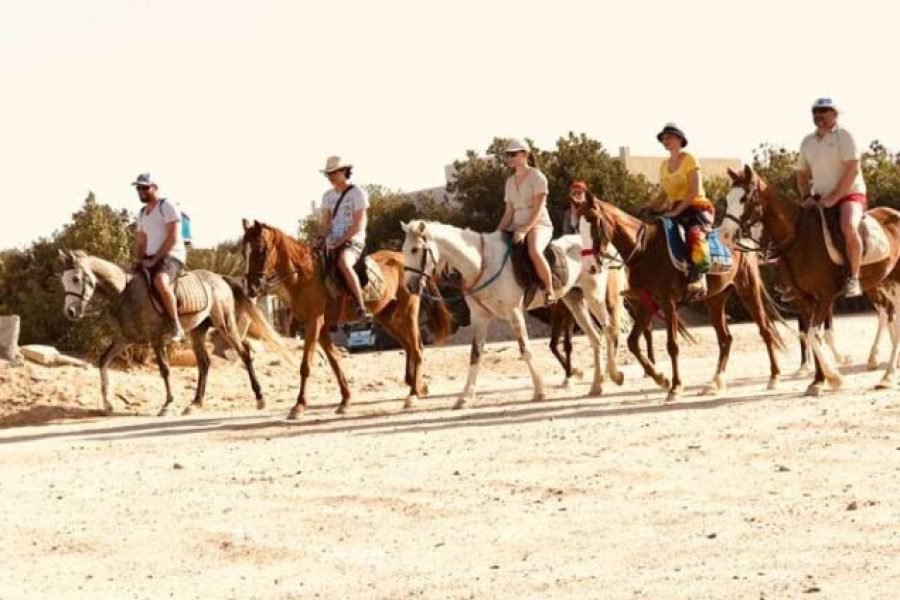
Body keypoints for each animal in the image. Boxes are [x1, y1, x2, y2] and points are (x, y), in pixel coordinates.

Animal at [59, 249, 278, 416]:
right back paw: (195, 404)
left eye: (76, 278)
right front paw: (108, 404)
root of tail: (219, 278)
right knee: (204, 363)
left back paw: (260, 399)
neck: (125, 293)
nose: (70, 312)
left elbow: (164, 369)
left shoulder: (156, 339)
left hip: (225, 325)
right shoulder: (124, 339)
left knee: (244, 353)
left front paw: (168, 404)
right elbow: (103, 361)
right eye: (64, 281)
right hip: (197, 331)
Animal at [241, 220, 452, 419]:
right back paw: (418, 385)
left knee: (416, 348)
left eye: (260, 249)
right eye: (244, 252)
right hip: (387, 318)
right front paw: (345, 400)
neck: (304, 276)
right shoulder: (322, 328)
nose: (252, 288)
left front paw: (299, 406)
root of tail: (404, 261)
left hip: (407, 312)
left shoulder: (313, 324)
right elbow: (335, 362)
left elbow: (306, 365)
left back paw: (413, 394)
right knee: (409, 346)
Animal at [401, 220, 625, 408]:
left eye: (415, 249)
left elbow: (525, 350)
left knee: (609, 329)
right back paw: (596, 385)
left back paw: (614, 375)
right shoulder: (479, 319)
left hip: (594, 297)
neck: (481, 264)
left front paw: (539, 390)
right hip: (575, 300)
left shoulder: (514, 313)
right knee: (595, 337)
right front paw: (465, 397)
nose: (409, 286)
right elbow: (475, 355)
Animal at [579, 194, 785, 401]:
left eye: (592, 220)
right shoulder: (646, 305)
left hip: (747, 289)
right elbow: (632, 342)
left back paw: (774, 377)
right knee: (725, 339)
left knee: (765, 330)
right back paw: (715, 383)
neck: (645, 250)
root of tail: (744, 241)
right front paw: (661, 378)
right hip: (716, 299)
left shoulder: (667, 302)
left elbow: (672, 345)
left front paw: (675, 387)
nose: (591, 266)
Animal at [722, 165, 900, 393]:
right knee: (890, 316)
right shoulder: (806, 301)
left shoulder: (825, 297)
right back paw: (885, 371)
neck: (799, 239)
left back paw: (887, 374)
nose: (724, 235)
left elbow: (817, 334)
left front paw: (834, 375)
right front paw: (819, 380)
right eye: (728, 198)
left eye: (744, 198)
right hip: (883, 283)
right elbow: (810, 336)